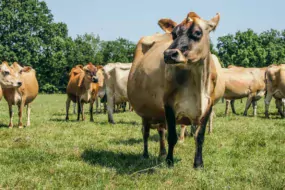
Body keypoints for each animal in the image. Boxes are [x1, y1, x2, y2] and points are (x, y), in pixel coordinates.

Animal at [160, 11, 224, 168]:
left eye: (197, 32)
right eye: (174, 34)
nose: (169, 54)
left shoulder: (208, 105)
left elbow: (200, 136)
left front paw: (198, 163)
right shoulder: (168, 103)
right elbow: (171, 136)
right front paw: (169, 161)